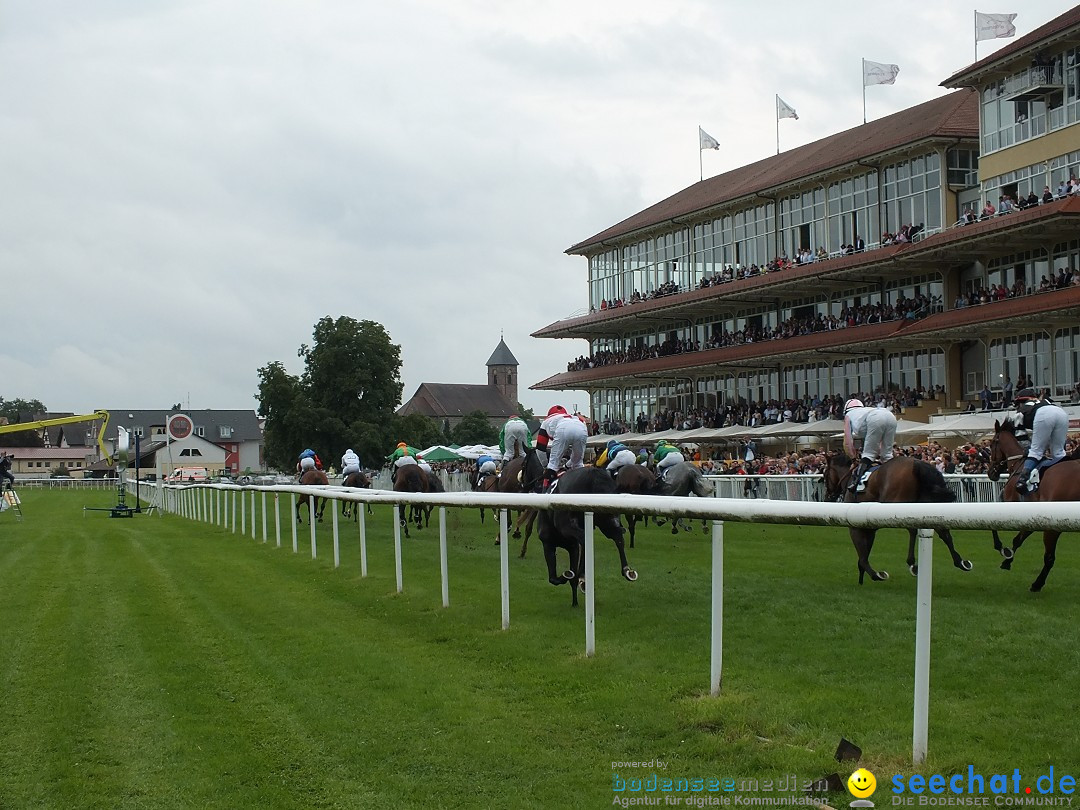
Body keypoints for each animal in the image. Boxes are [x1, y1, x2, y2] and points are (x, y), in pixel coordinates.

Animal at [825, 453, 972, 587]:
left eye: (825, 475)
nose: (827, 496)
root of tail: (917, 463)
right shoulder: (869, 526)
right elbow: (865, 552)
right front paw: (862, 576)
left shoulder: (855, 526)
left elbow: (862, 557)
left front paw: (875, 574)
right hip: (927, 505)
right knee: (943, 532)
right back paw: (960, 562)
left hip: (898, 504)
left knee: (913, 529)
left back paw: (912, 563)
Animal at [989, 421, 1080, 591]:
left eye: (991, 444)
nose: (990, 472)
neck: (1019, 465)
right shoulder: (1033, 516)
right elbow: (1018, 540)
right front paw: (1007, 561)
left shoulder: (1012, 506)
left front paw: (1001, 548)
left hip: (1053, 527)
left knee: (1049, 557)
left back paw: (1037, 583)